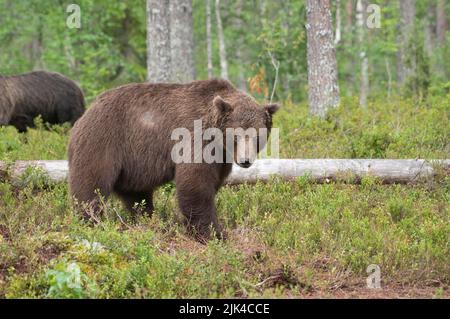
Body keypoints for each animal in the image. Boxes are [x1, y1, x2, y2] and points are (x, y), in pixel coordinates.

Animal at [68, 79, 280, 241]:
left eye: (257, 136)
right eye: (236, 136)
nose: (245, 160)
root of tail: (85, 114)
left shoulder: (221, 157)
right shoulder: (196, 139)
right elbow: (196, 184)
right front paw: (213, 233)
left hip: (133, 164)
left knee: (137, 195)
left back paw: (146, 219)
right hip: (103, 142)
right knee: (91, 186)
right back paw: (89, 221)